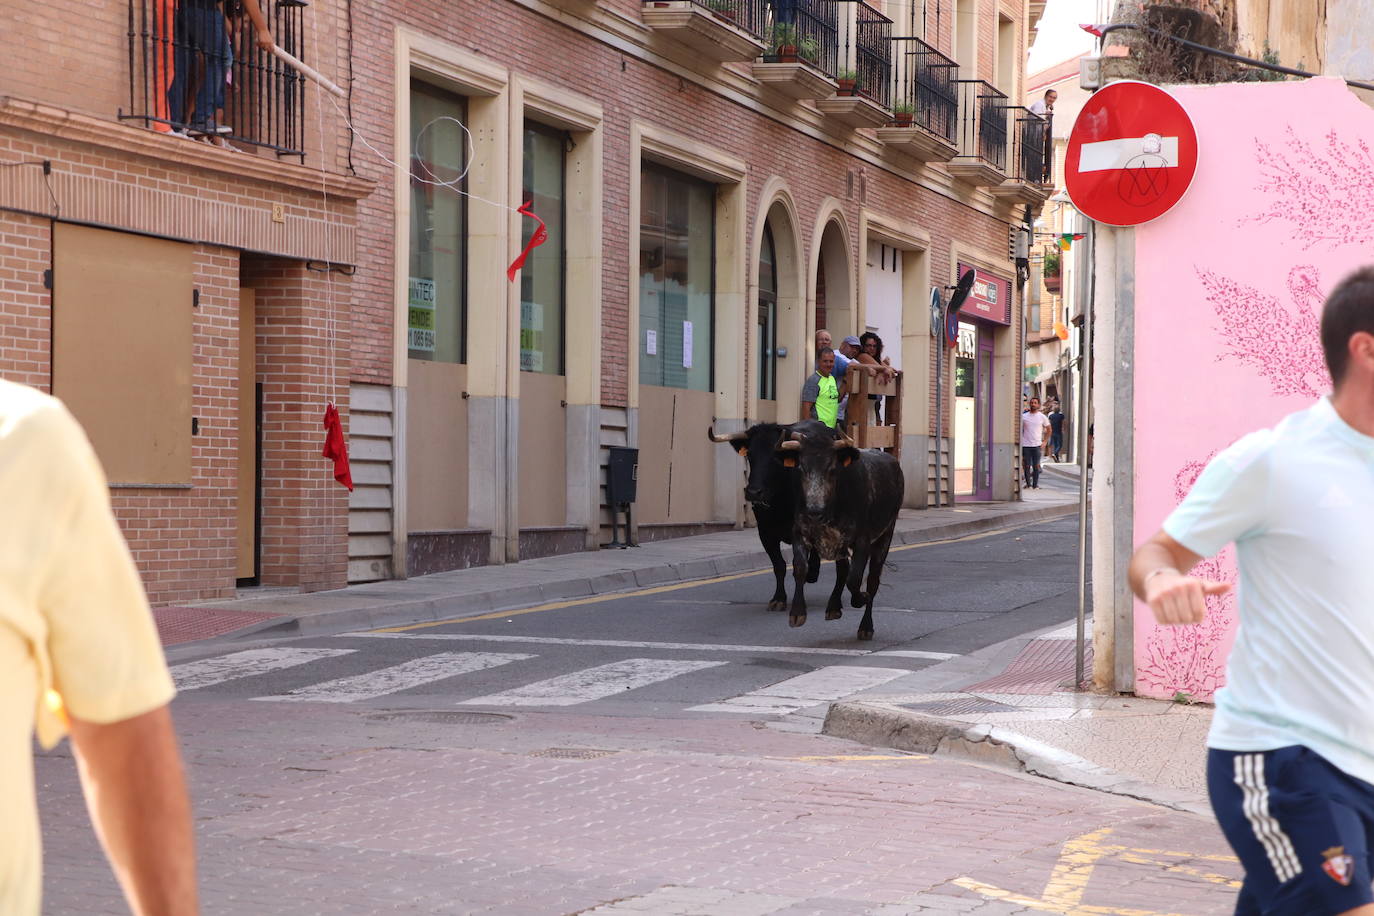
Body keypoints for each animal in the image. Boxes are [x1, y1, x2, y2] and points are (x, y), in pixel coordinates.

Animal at [708, 425, 824, 612]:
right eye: (750, 455)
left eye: (776, 458)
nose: (754, 492)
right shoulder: (766, 533)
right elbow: (779, 565)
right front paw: (778, 599)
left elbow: (798, 564)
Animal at [780, 431, 906, 637]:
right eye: (801, 468)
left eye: (831, 469)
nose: (814, 510)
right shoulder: (800, 533)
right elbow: (800, 568)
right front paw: (797, 613)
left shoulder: (862, 541)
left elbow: (855, 579)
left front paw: (860, 598)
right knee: (843, 570)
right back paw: (833, 607)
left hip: (885, 536)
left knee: (872, 580)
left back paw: (865, 627)